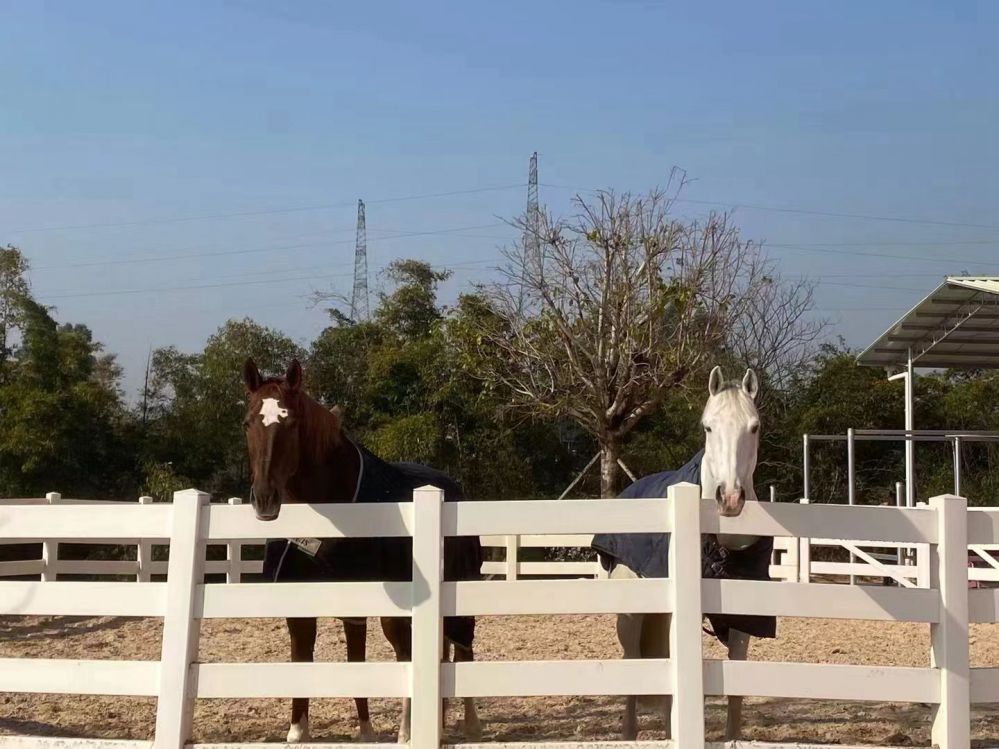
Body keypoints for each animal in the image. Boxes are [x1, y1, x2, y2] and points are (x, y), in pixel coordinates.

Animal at [238, 358, 480, 744]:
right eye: (248, 423)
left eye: (291, 422)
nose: (264, 500)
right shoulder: (303, 605)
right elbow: (307, 660)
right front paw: (299, 730)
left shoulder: (368, 605)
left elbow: (370, 660)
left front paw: (382, 733)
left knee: (462, 646)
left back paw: (468, 723)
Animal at [612, 366, 760, 740]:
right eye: (707, 426)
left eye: (754, 427)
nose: (730, 498)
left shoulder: (743, 618)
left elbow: (737, 681)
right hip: (631, 616)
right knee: (632, 664)